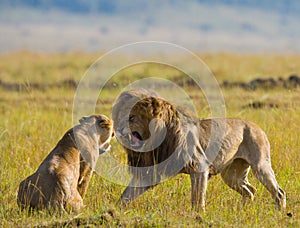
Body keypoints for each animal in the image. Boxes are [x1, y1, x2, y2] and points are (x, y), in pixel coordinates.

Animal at [112, 90, 286, 211]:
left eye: (131, 118)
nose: (117, 130)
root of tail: (257, 127)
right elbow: (126, 195)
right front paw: (113, 212)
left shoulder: (199, 166)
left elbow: (197, 198)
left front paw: (198, 216)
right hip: (232, 175)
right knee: (250, 190)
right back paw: (243, 211)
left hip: (260, 165)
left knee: (279, 192)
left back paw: (279, 213)